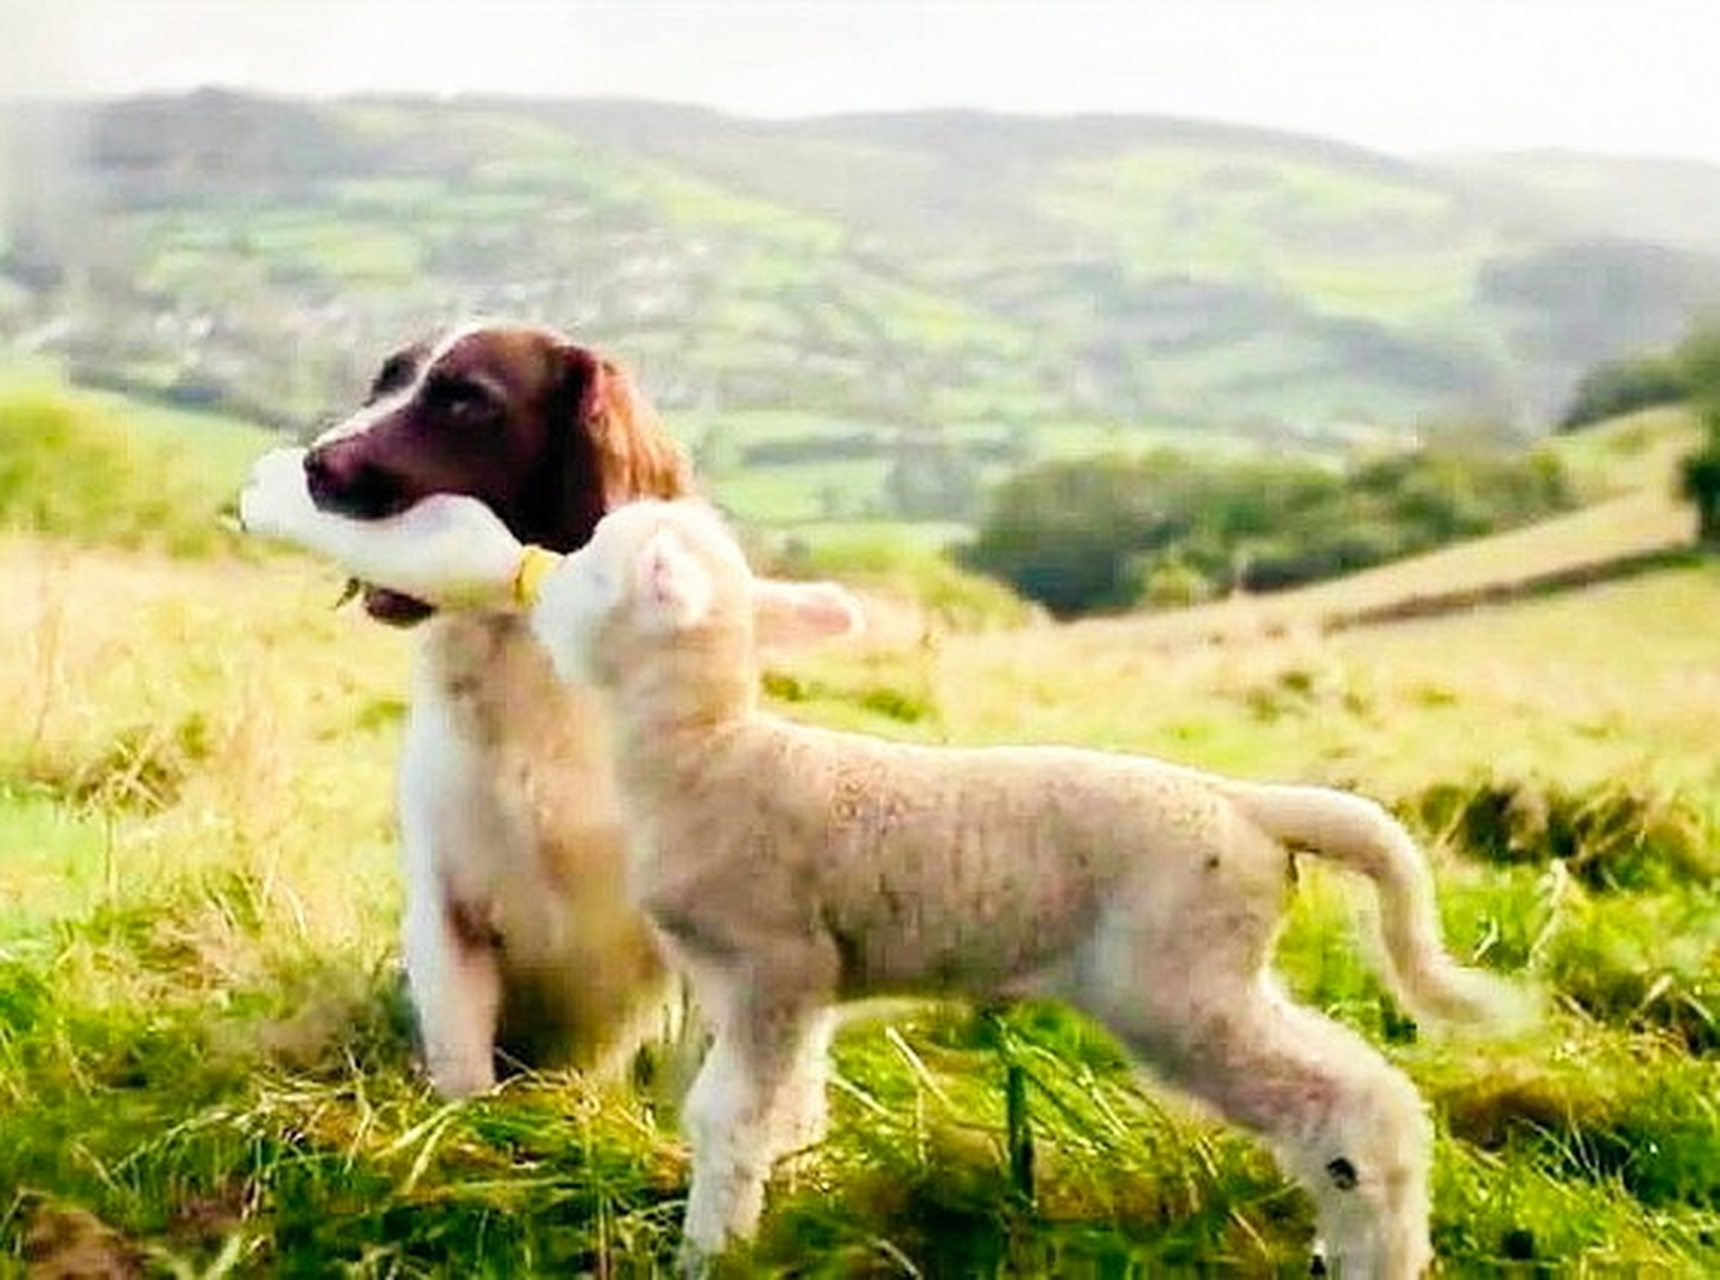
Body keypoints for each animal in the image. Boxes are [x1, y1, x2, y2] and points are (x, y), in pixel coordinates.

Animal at [232, 481, 1534, 1280]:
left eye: (596, 565)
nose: (535, 569)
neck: (713, 752)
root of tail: (1251, 805)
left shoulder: (768, 960)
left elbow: (727, 1114)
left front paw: (708, 1246)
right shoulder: (801, 984)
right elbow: (781, 1108)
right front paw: (765, 1206)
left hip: (1178, 975)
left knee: (1356, 1100)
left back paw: (1379, 1251)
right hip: (1214, 966)